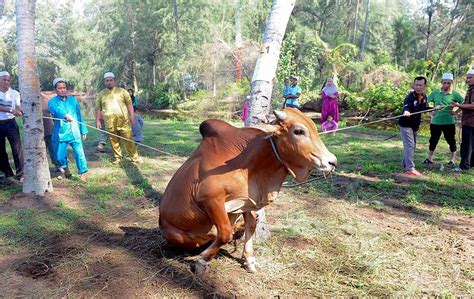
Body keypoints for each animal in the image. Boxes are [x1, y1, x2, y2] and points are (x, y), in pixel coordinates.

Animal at [159, 108, 336, 274]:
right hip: (177, 236)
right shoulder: (209, 198)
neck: (251, 165)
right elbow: (225, 233)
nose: (332, 162)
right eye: (299, 131)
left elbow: (251, 225)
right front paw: (202, 261)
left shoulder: (247, 201)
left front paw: (249, 259)